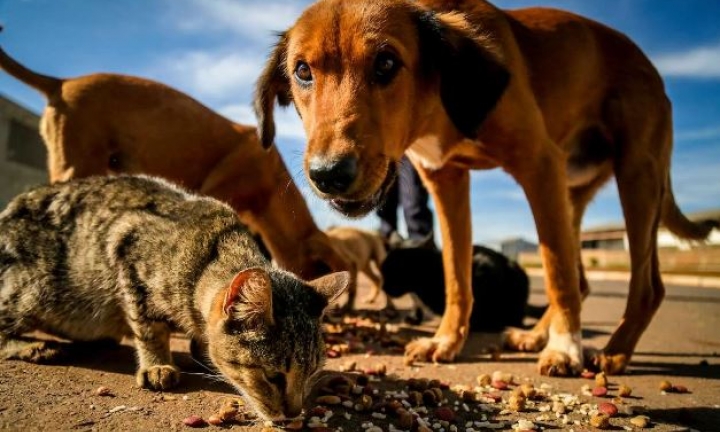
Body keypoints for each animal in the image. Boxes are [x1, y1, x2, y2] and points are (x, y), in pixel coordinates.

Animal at [0, 174, 348, 420]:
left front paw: (201, 350)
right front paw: (157, 365)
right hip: (32, 292)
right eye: (274, 377)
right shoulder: (127, 249)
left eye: (311, 372)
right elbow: (149, 329)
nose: (294, 415)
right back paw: (31, 347)